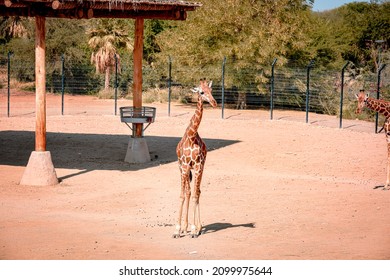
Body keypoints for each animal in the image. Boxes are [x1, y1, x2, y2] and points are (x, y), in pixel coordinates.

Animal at [173, 79, 218, 238]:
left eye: (212, 90)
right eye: (202, 92)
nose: (214, 103)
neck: (192, 136)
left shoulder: (198, 165)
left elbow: (195, 195)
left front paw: (193, 229)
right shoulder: (185, 165)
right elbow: (182, 195)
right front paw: (177, 229)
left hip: (201, 167)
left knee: (197, 192)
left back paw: (197, 227)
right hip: (183, 168)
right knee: (188, 191)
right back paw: (184, 227)